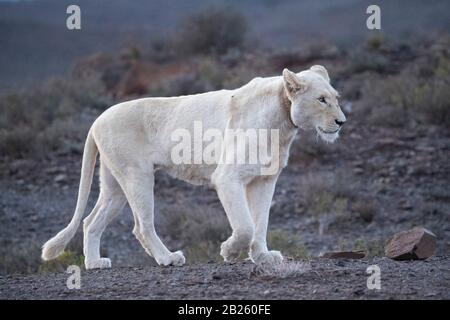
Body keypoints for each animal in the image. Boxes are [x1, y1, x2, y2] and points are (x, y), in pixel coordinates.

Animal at [41, 64, 344, 268]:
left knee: (91, 221)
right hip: (137, 175)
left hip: (114, 183)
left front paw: (262, 256)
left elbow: (260, 222)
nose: (342, 122)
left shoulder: (264, 179)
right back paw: (168, 258)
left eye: (336, 98)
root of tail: (96, 120)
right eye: (321, 99)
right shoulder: (228, 177)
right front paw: (230, 252)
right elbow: (245, 225)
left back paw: (95, 263)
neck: (282, 123)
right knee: (141, 226)